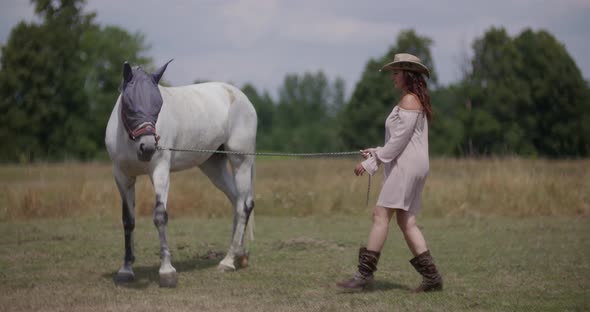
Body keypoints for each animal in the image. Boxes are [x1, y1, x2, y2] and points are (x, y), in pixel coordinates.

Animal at [105, 59, 258, 286]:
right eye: (129, 104)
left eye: (158, 105)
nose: (148, 148)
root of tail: (240, 97)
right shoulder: (123, 177)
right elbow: (128, 220)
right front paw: (126, 270)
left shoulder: (160, 171)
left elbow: (160, 216)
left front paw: (167, 272)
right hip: (213, 165)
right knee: (236, 200)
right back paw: (240, 254)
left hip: (241, 161)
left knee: (243, 206)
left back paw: (229, 261)